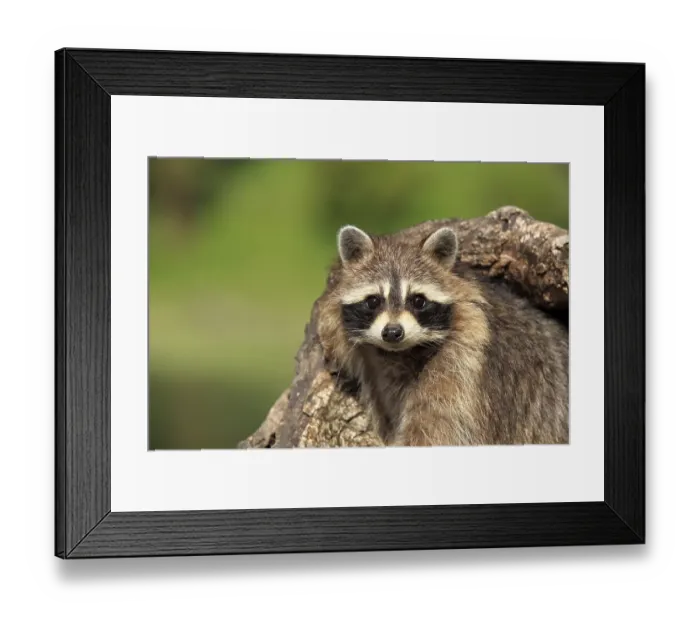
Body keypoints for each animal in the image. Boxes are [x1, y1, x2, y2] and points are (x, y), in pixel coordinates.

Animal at [316, 224, 569, 447]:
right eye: (373, 301)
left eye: (418, 301)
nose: (393, 332)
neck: (398, 355)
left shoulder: (464, 363)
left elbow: (438, 431)